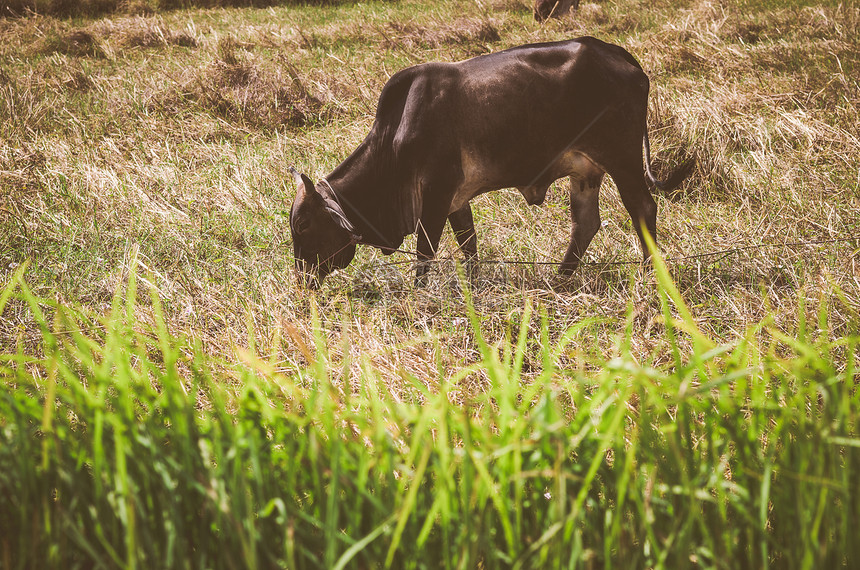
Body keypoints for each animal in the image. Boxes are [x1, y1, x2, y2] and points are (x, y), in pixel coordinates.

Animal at [292, 37, 696, 288]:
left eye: (304, 224)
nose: (302, 280)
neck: (393, 140)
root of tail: (614, 52)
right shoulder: (456, 199)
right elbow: (468, 246)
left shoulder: (436, 194)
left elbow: (425, 251)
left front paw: (418, 295)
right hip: (586, 170)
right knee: (586, 223)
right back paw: (560, 279)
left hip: (622, 157)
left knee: (642, 208)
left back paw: (650, 273)